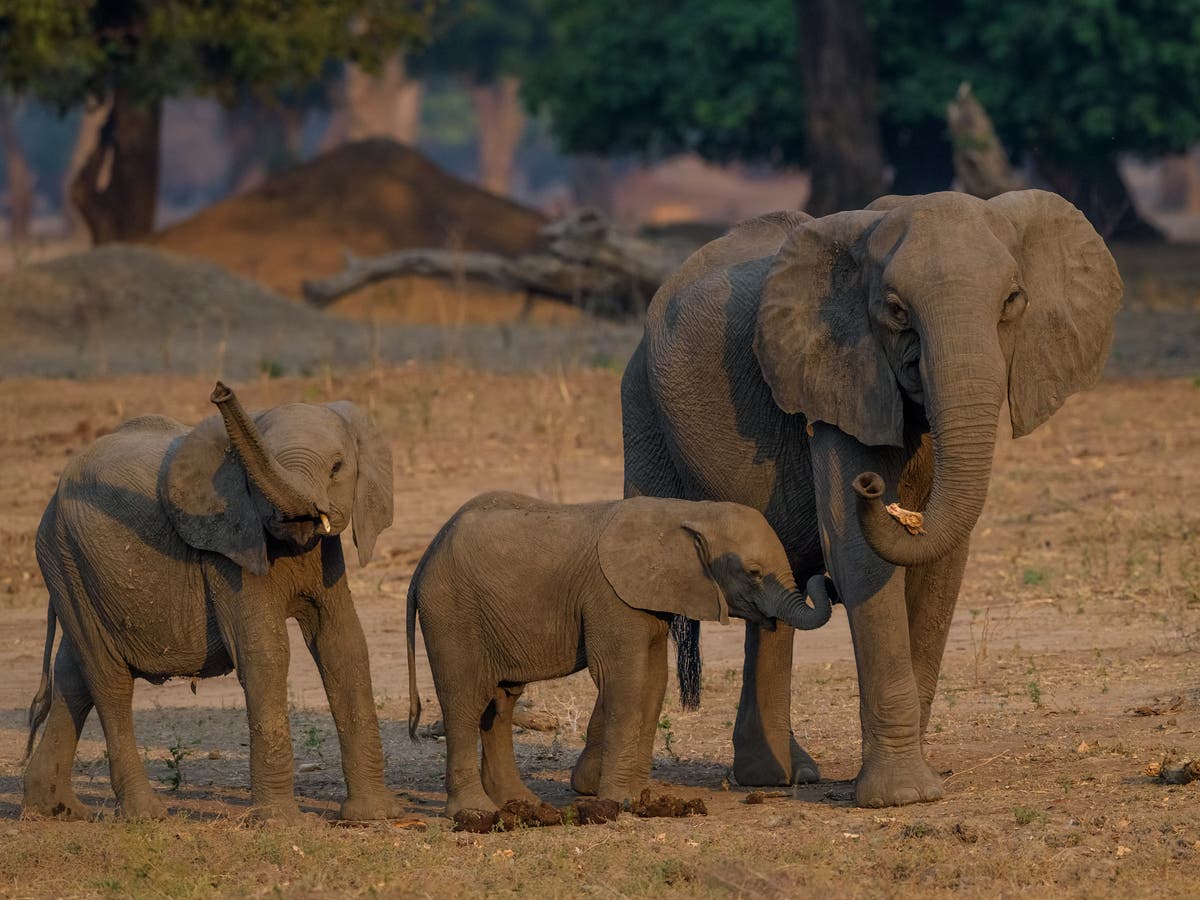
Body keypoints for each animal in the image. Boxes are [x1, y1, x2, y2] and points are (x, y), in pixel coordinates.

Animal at [23, 381, 398, 825]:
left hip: (73, 566)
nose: (221, 390)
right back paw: (146, 815)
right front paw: (281, 823)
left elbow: (343, 646)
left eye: (337, 467)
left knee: (73, 672)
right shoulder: (227, 550)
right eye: (252, 479)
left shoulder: (326, 555)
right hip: (65, 557)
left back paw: (56, 809)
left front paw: (373, 816)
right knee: (108, 678)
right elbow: (265, 652)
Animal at [619, 190, 1123, 811]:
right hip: (640, 405)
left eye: (1012, 301)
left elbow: (939, 562)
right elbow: (860, 555)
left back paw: (782, 778)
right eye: (896, 309)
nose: (873, 490)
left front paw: (916, 785)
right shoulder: (842, 376)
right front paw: (900, 797)